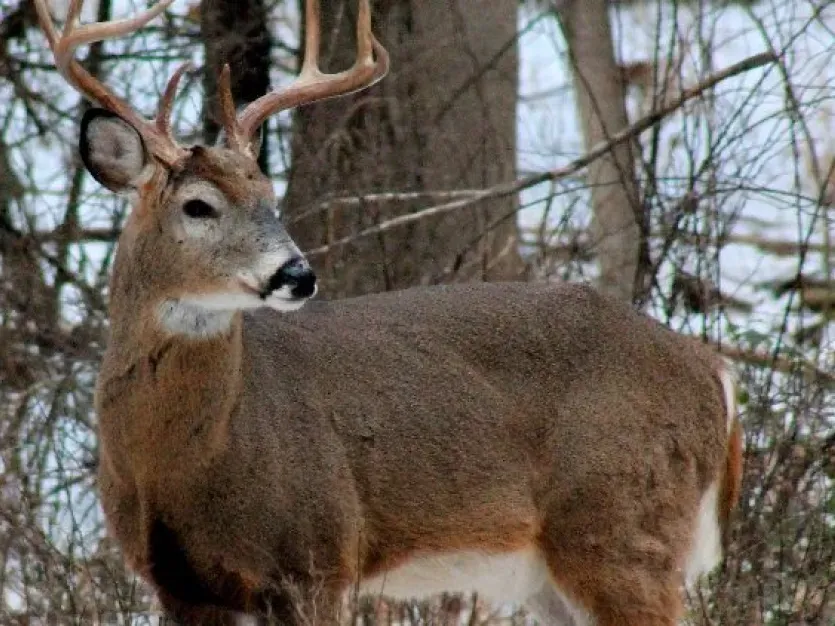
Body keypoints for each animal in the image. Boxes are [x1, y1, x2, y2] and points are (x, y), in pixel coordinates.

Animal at [33, 0, 743, 624]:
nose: (297, 274)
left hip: (623, 524)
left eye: (269, 195)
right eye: (198, 206)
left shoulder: (318, 555)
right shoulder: (178, 585)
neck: (181, 466)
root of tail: (714, 371)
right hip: (554, 569)